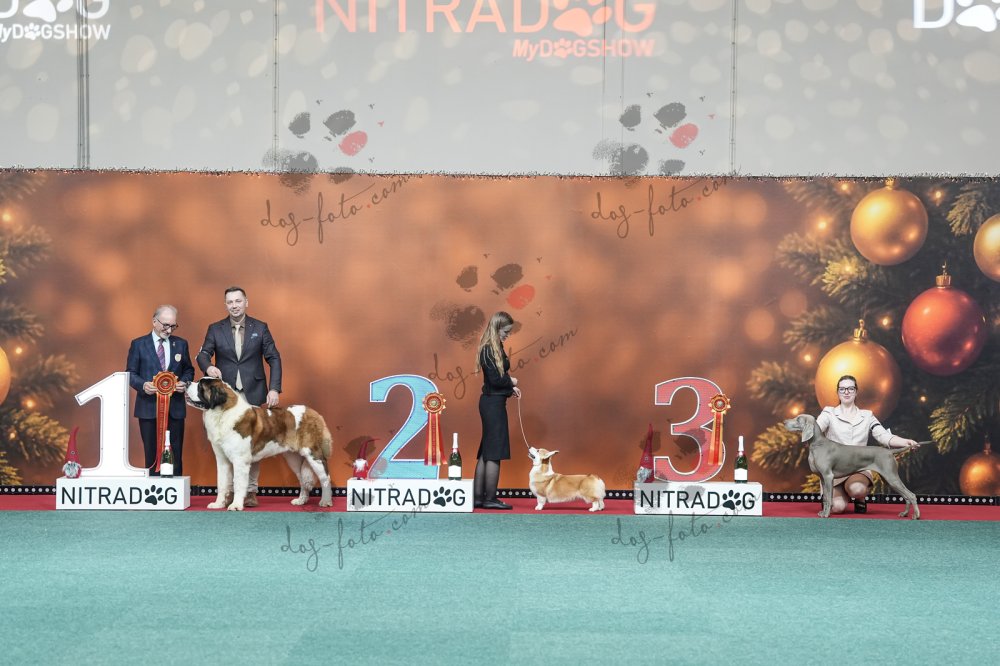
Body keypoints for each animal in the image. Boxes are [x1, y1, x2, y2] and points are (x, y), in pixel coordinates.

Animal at [186, 377, 333, 511]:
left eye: (200, 386)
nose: (186, 382)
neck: (222, 413)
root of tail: (313, 412)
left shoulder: (240, 461)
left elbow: (238, 483)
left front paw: (235, 505)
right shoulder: (222, 461)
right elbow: (221, 483)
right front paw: (218, 504)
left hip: (313, 454)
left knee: (325, 477)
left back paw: (326, 501)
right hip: (294, 458)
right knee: (302, 479)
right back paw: (301, 500)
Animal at [784, 413, 919, 520]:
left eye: (798, 419)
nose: (784, 422)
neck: (817, 444)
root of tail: (889, 451)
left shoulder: (828, 476)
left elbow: (829, 498)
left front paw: (826, 514)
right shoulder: (822, 478)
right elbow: (826, 497)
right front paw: (823, 512)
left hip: (891, 477)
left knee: (911, 495)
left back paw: (916, 516)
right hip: (888, 480)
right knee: (906, 496)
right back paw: (904, 513)